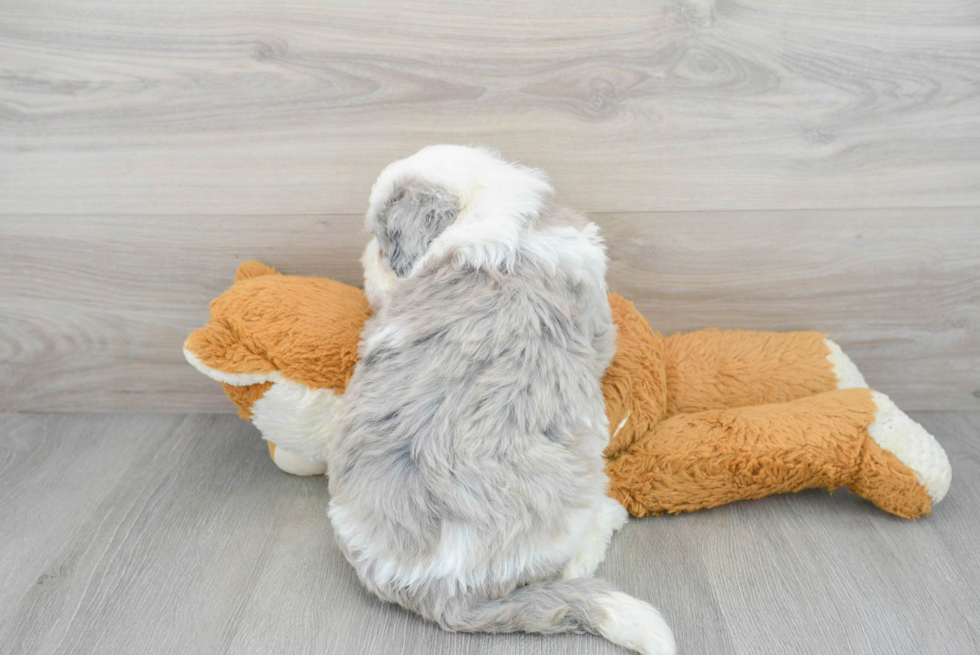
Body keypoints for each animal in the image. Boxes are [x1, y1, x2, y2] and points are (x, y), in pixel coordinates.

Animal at [330, 146, 672, 652]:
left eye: (382, 244)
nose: (366, 263)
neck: (486, 209)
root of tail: (446, 596)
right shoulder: (596, 319)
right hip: (573, 499)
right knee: (570, 565)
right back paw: (608, 519)